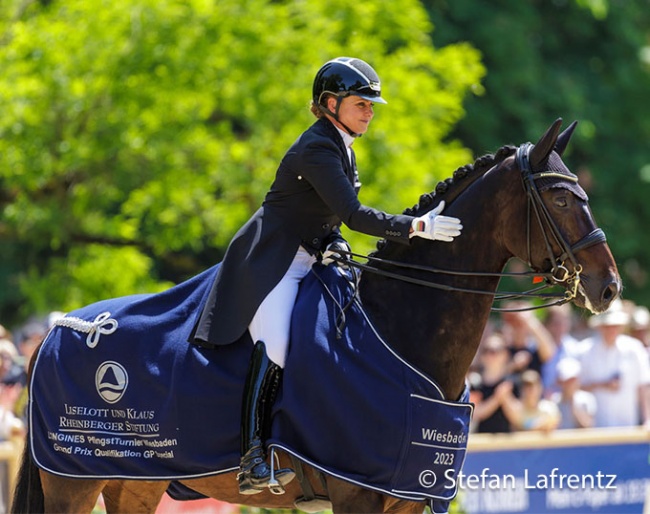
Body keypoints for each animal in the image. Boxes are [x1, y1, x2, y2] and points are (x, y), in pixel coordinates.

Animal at [10, 118, 616, 510]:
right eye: (561, 199)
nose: (608, 288)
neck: (398, 332)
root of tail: (58, 330)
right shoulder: (355, 494)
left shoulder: (408, 495)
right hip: (71, 479)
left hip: (132, 480)